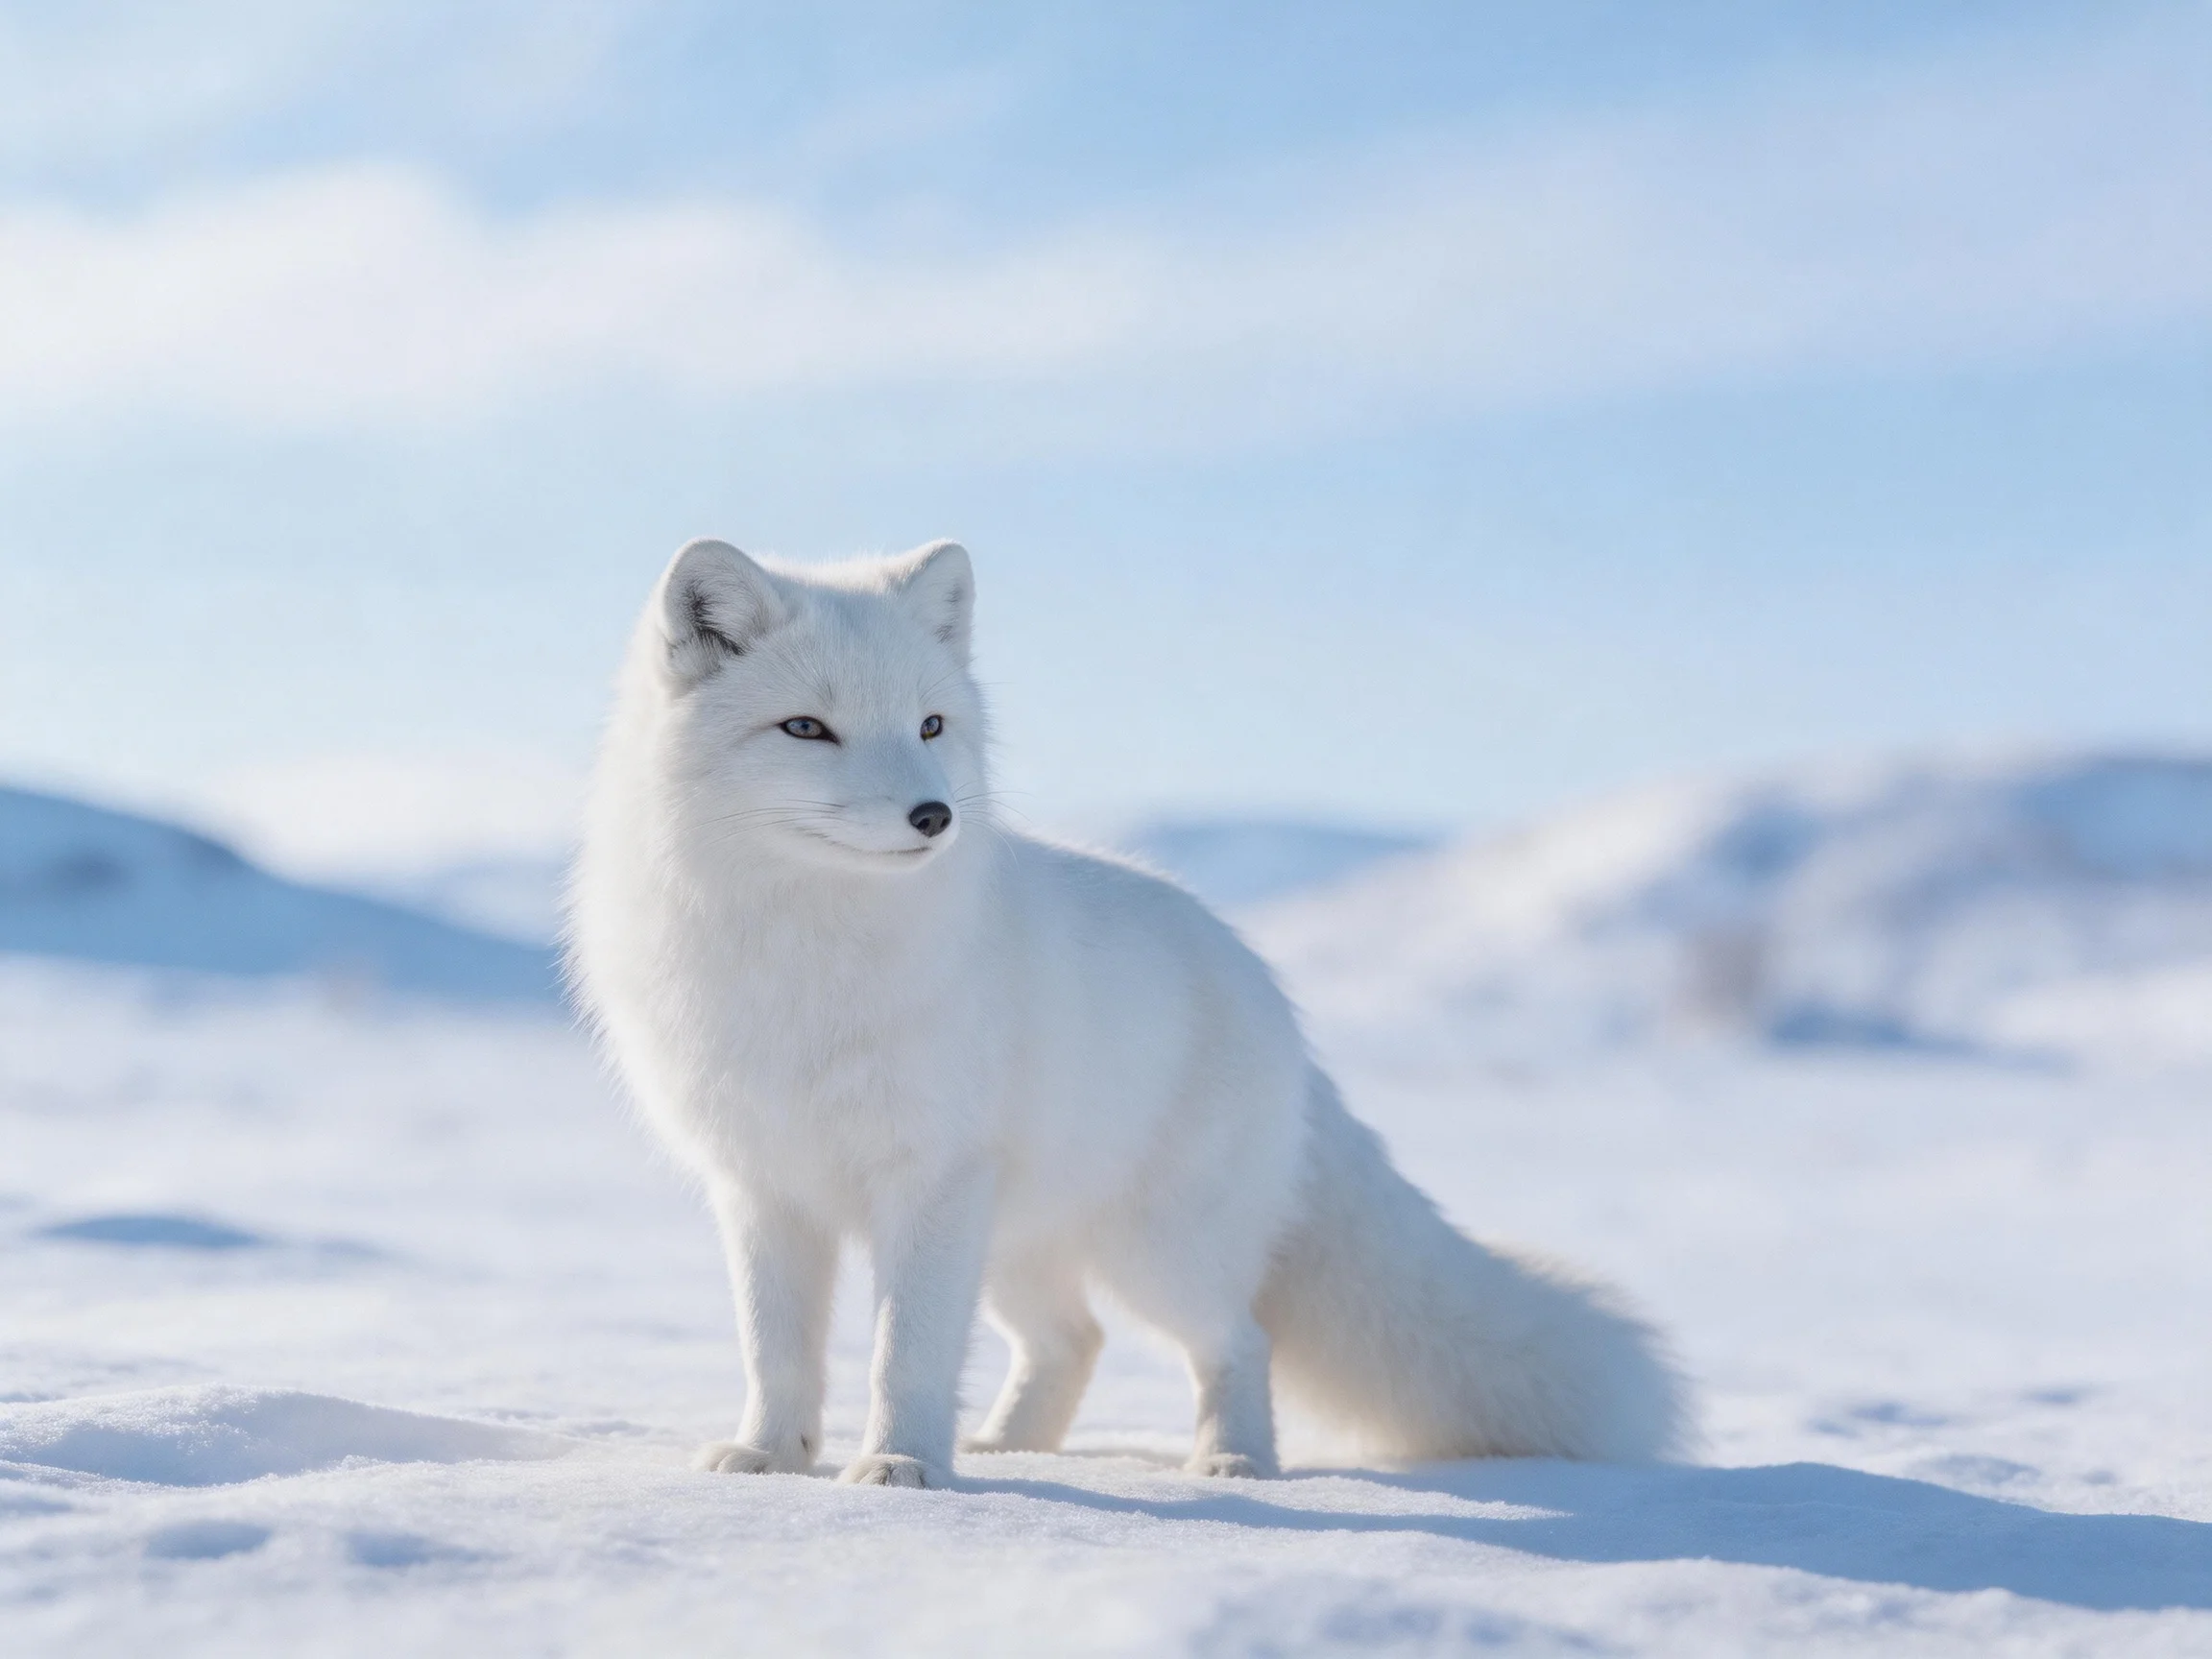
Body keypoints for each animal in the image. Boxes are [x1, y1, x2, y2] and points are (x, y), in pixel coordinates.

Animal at [566, 536, 1688, 1488]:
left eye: (931, 724)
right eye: (807, 727)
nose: (936, 815)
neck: (802, 957)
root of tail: (1265, 988)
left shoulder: (928, 1179)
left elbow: (905, 1353)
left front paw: (902, 1469)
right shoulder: (763, 1189)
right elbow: (778, 1354)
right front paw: (769, 1460)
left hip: (1151, 1253)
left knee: (1236, 1338)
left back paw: (1231, 1464)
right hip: (1017, 1244)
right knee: (1074, 1341)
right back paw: (1013, 1450)